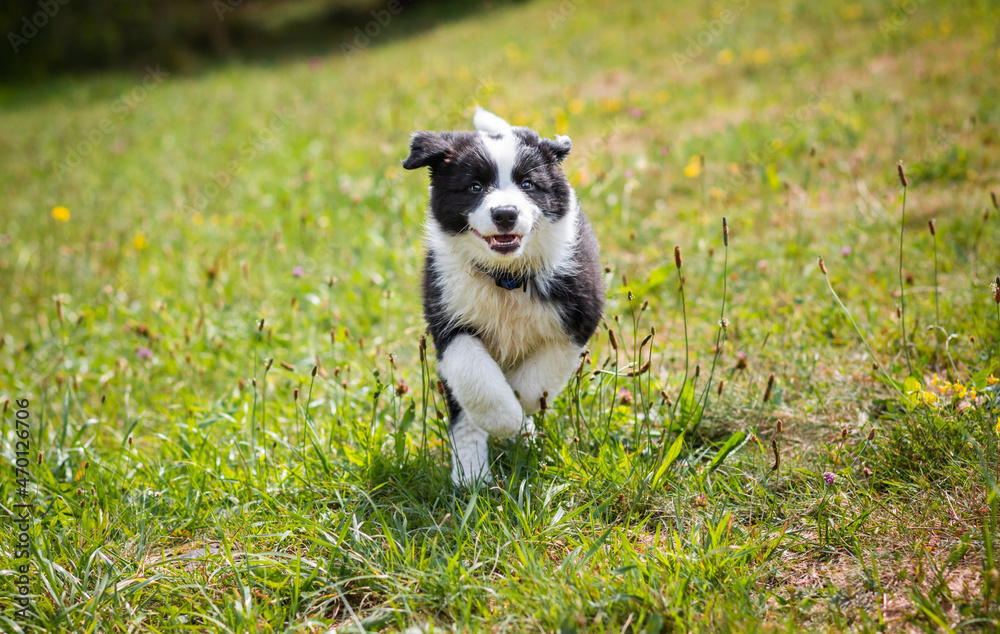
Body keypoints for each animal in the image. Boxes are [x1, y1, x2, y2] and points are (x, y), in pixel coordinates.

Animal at [404, 108, 600, 484]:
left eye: (528, 185)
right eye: (475, 187)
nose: (505, 214)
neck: (505, 278)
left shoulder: (580, 313)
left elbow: (537, 379)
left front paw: (519, 412)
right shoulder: (446, 313)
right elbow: (474, 375)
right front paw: (504, 419)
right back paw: (471, 476)